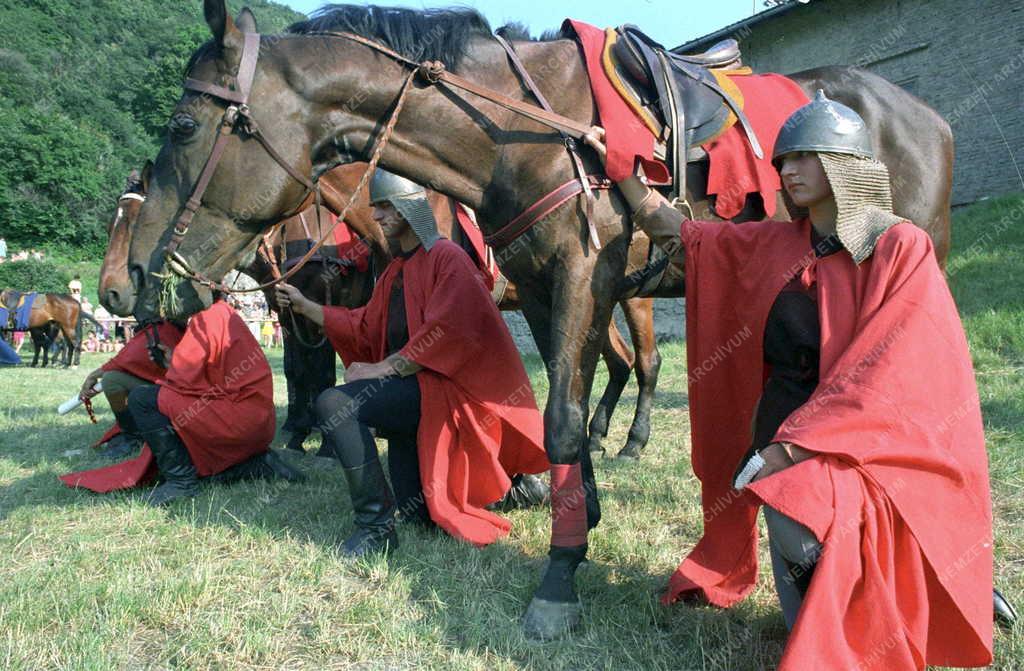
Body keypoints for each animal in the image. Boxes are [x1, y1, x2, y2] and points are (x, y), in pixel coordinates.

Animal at [125, 2, 950, 639]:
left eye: (183, 125)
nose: (138, 276)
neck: (521, 134)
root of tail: (926, 117)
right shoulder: (544, 287)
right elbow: (567, 407)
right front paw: (578, 518)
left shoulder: (586, 275)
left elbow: (558, 420)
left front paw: (558, 577)